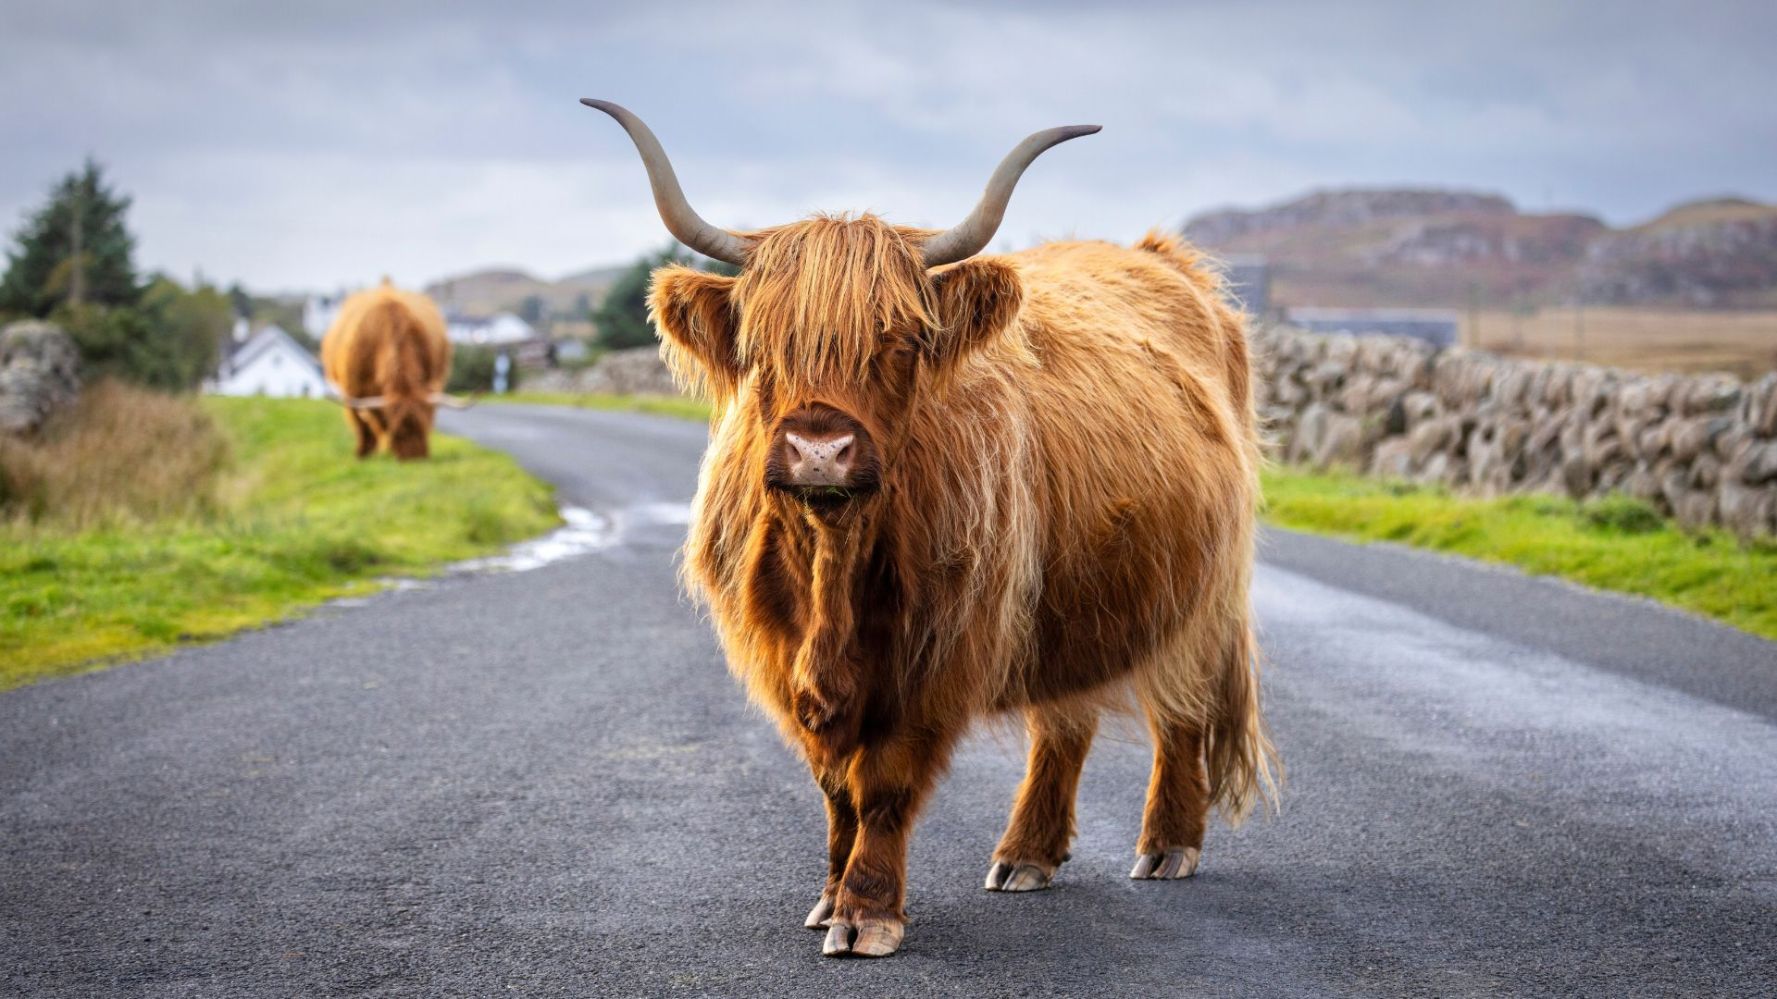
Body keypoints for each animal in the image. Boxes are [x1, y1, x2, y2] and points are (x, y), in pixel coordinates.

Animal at [319, 281, 465, 460]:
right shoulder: (354, 392)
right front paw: (362, 454)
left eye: (424, 426)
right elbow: (362, 426)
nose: (415, 459)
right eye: (398, 431)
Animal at [583, 99, 1278, 959]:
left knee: (1181, 706)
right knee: (1064, 718)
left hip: (1204, 590)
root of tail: (1168, 263)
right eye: (763, 346)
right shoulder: (782, 653)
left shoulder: (938, 649)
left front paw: (865, 912)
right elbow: (834, 786)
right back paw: (1027, 852)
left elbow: (883, 782)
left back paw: (1167, 843)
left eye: (898, 341)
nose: (820, 449)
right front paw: (828, 895)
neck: (834, 566)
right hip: (1069, 595)